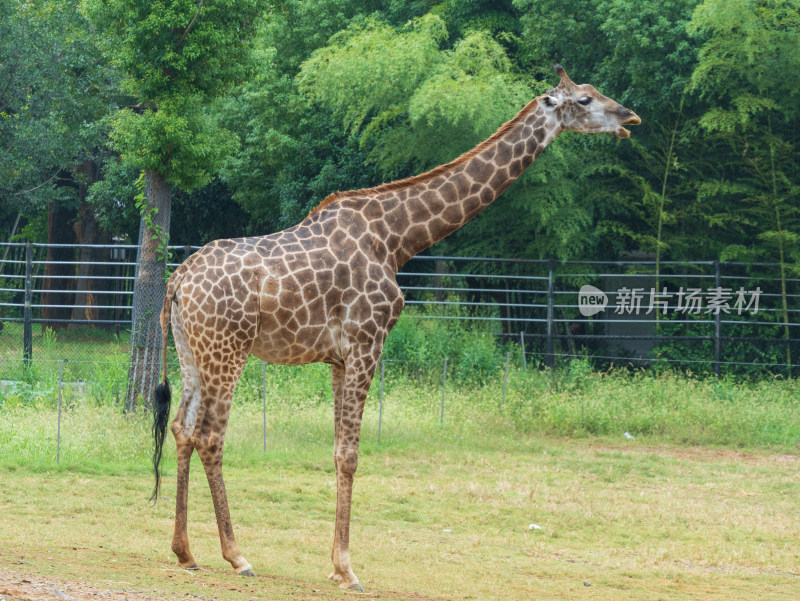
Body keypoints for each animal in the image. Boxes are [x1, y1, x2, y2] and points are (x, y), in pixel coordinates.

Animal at [148, 63, 636, 588]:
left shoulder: (338, 358)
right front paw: (347, 568)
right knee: (210, 436)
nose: (629, 118)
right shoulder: (368, 341)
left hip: (191, 350)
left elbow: (337, 450)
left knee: (181, 428)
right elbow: (350, 454)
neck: (399, 238)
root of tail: (179, 278)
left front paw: (335, 564)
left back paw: (184, 550)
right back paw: (237, 555)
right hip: (228, 349)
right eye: (584, 100)